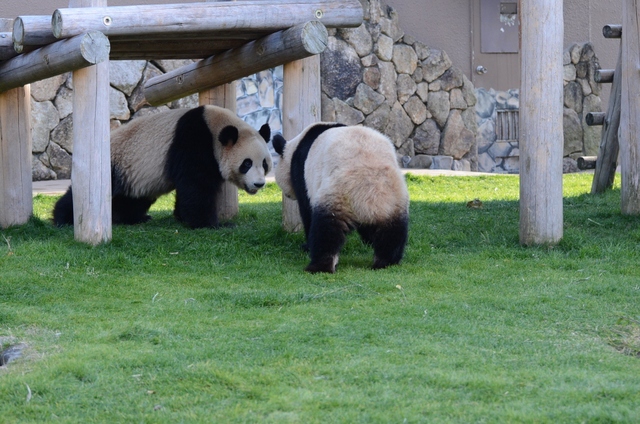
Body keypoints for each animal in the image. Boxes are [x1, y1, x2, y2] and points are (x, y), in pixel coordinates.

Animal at [50, 105, 270, 229]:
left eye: (265, 164)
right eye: (247, 163)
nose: (259, 184)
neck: (214, 127)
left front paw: (181, 216)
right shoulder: (193, 141)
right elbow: (196, 186)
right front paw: (213, 224)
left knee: (132, 198)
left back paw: (132, 218)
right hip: (116, 161)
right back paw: (63, 218)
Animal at [272, 121, 408, 274]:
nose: (288, 195)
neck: (295, 147)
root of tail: (370, 192)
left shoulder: (302, 174)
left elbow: (307, 212)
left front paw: (306, 246)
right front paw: (368, 241)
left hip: (337, 194)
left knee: (326, 231)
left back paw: (319, 267)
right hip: (393, 198)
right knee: (392, 233)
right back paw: (386, 262)